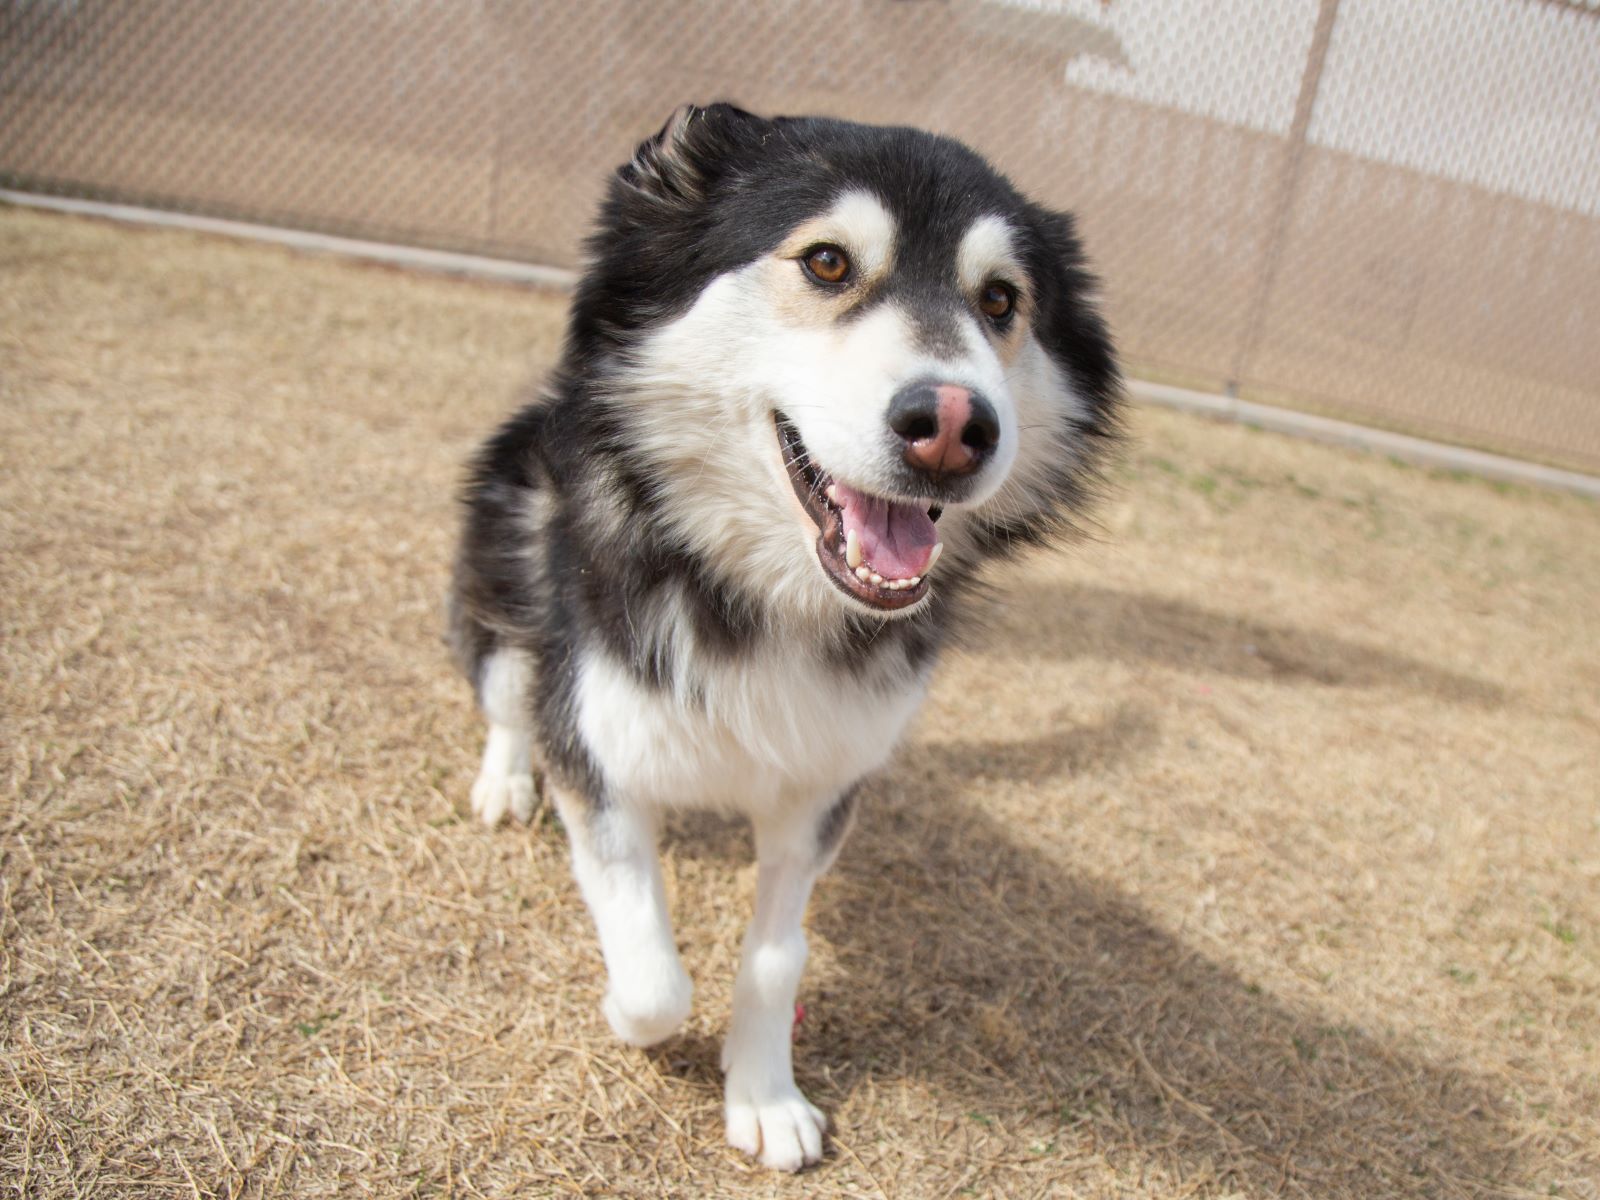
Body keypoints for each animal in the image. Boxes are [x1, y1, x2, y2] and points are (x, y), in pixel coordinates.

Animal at [451, 105, 1120, 1177]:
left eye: (1001, 300)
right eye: (828, 262)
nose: (952, 425)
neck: (767, 596)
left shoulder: (824, 782)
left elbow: (776, 957)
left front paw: (764, 1094)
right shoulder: (601, 740)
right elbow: (653, 980)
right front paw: (625, 1012)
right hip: (512, 592)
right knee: (508, 690)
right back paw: (507, 780)